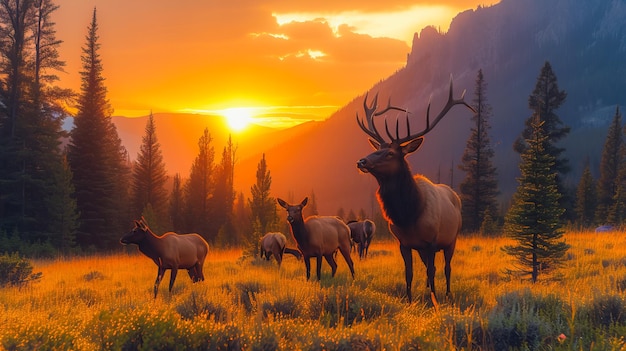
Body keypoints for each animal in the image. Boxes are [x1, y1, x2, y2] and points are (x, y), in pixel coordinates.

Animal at [354, 78, 470, 304]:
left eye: (390, 153)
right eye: (377, 148)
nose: (361, 161)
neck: (409, 214)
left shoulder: (432, 242)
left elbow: (434, 271)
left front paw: (435, 300)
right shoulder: (404, 243)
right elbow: (409, 273)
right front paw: (409, 300)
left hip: (452, 239)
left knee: (447, 268)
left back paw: (447, 293)